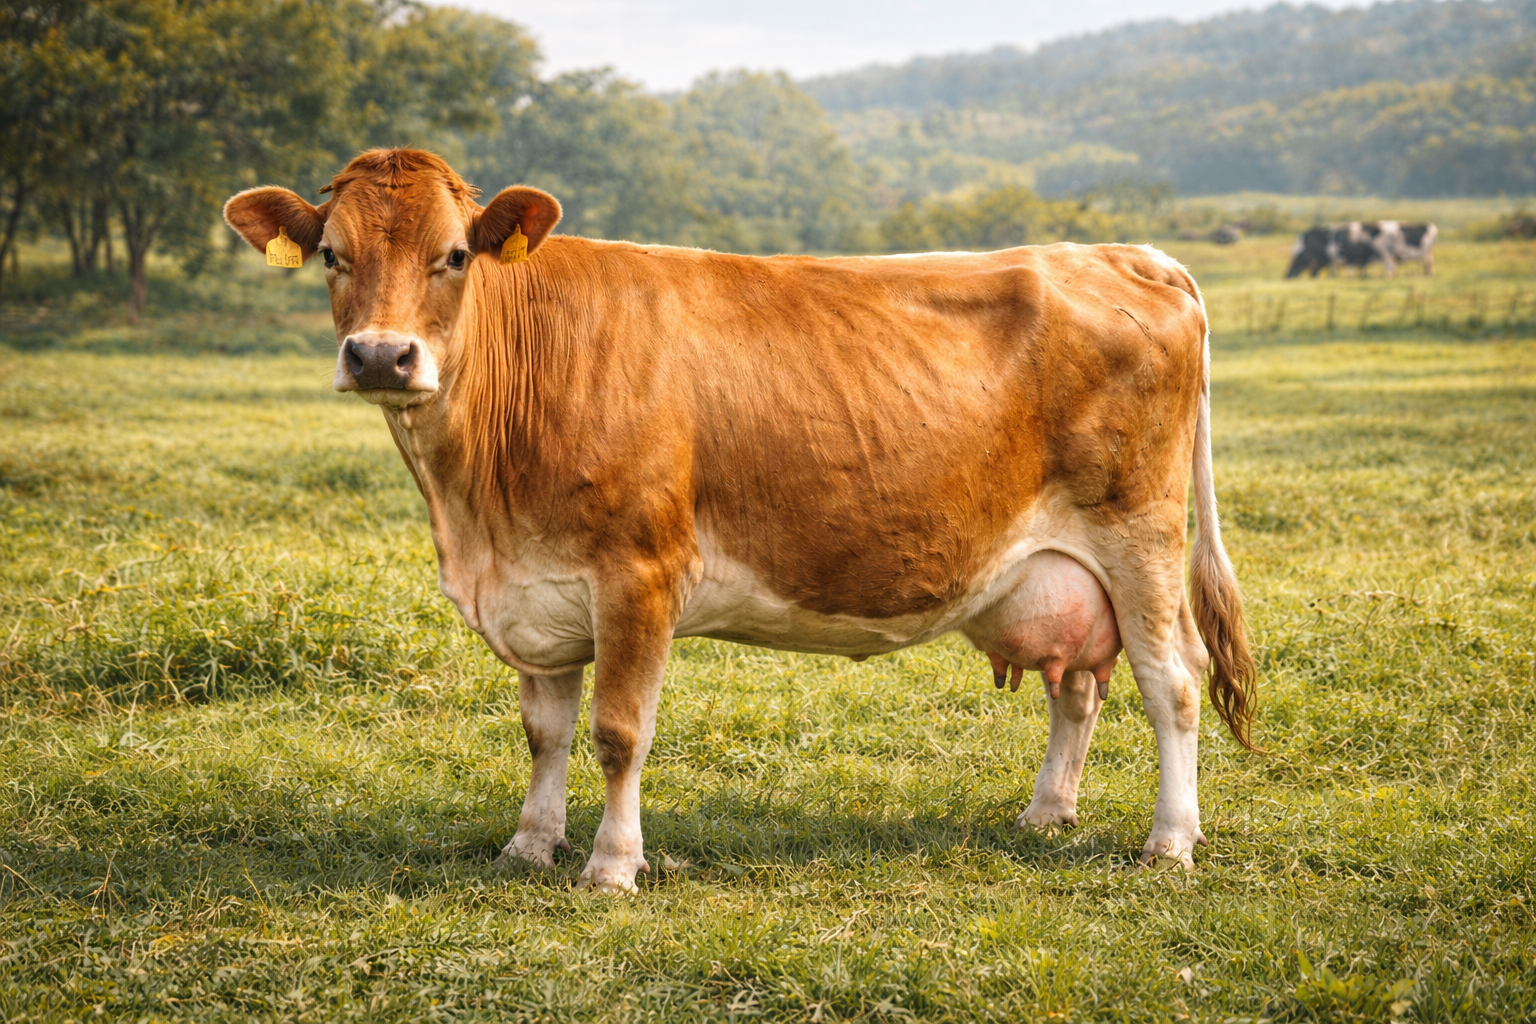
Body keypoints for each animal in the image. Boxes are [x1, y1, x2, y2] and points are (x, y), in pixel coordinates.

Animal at [224, 149, 1257, 894]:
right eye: (332, 255)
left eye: (454, 255)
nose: (382, 356)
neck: (477, 515)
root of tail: (1123, 252)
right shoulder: (536, 591)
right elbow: (544, 733)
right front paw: (528, 845)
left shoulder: (637, 574)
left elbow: (618, 731)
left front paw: (611, 866)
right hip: (1063, 568)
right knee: (1078, 685)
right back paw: (1048, 813)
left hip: (1139, 537)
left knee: (1173, 683)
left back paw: (1171, 842)